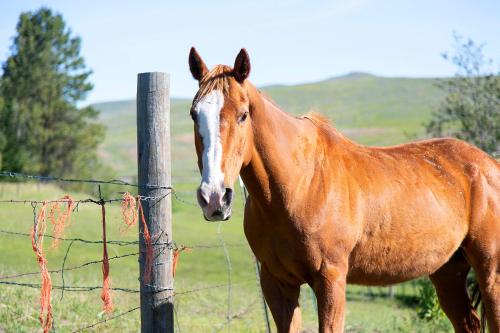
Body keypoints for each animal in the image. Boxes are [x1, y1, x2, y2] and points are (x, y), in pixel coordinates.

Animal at [188, 47, 500, 332]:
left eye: (243, 115)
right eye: (194, 114)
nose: (214, 198)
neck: (299, 185)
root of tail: (488, 164)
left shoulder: (331, 279)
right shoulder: (277, 283)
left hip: (490, 272)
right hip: (448, 272)